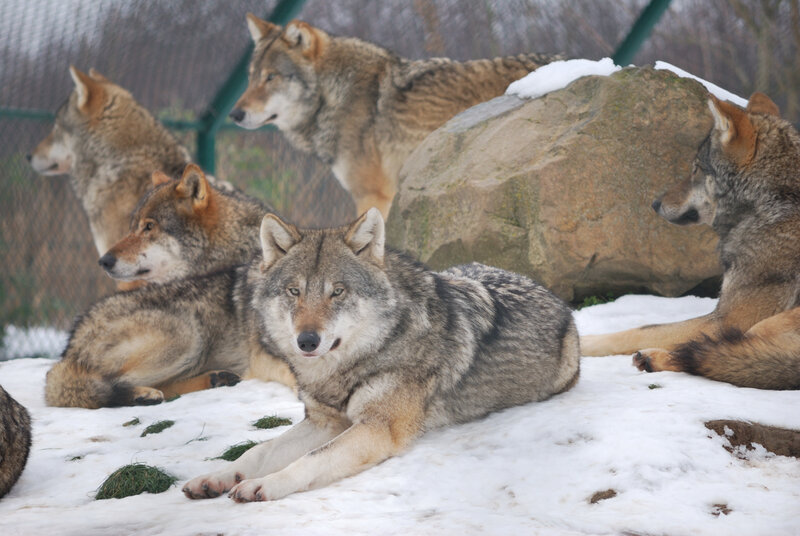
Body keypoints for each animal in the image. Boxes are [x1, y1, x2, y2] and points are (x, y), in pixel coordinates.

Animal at [182, 208, 580, 502]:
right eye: (294, 292)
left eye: (337, 292)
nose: (306, 341)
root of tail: (556, 298)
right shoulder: (323, 423)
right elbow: (257, 452)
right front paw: (215, 477)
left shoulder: (376, 428)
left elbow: (310, 460)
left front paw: (262, 484)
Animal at [581, 93, 800, 390]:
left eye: (696, 169)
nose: (655, 203)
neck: (773, 200)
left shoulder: (727, 321)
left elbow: (639, 330)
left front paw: (582, 341)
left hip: (763, 326)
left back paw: (652, 358)